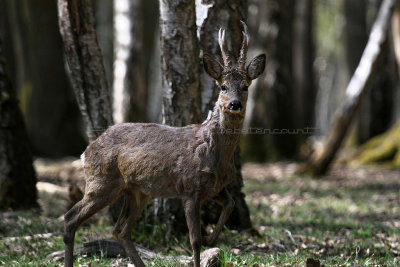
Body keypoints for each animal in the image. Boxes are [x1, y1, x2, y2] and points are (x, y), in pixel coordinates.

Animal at [64, 21, 266, 267]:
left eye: (245, 86)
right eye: (223, 86)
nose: (235, 105)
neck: (215, 154)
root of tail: (86, 151)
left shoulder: (216, 187)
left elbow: (230, 204)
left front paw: (211, 239)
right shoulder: (189, 188)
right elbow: (194, 240)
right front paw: (203, 246)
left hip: (137, 191)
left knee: (120, 230)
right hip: (101, 182)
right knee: (71, 218)